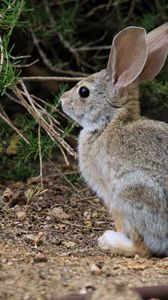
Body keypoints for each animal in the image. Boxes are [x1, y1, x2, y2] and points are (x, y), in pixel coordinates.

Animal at [60, 24, 168, 258]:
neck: (109, 123)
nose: (62, 100)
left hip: (131, 191)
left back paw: (108, 241)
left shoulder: (111, 195)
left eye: (83, 92)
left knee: (143, 249)